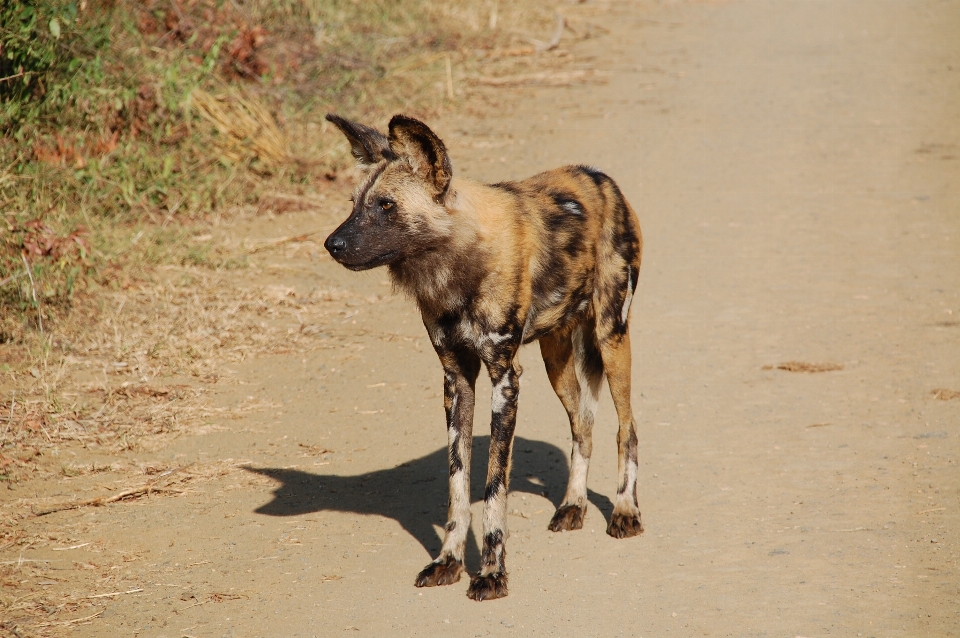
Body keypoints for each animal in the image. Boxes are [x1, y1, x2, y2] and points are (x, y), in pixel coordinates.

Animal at [322, 114, 644, 600]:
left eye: (386, 206)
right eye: (354, 204)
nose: (331, 244)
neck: (456, 267)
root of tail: (600, 178)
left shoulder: (504, 379)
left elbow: (493, 488)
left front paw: (491, 574)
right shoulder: (457, 379)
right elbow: (458, 486)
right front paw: (448, 562)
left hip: (611, 339)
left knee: (627, 428)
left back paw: (625, 511)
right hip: (556, 358)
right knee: (582, 426)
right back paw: (573, 505)